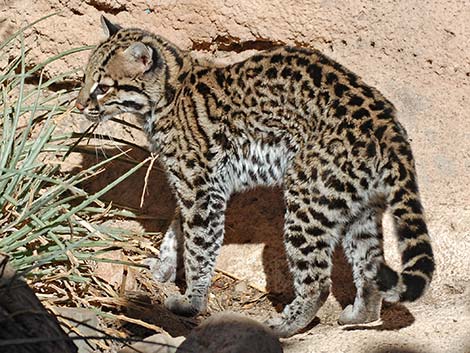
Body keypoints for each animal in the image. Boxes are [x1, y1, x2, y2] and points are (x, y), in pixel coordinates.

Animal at [76, 17, 434, 338]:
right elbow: (175, 232)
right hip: (358, 207)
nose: (79, 106)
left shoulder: (201, 191)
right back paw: (360, 314)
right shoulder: (190, 187)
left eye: (103, 87)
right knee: (370, 267)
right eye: (84, 77)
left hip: (307, 200)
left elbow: (198, 247)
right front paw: (162, 269)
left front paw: (191, 302)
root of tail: (387, 123)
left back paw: (284, 325)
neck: (168, 92)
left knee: (318, 283)